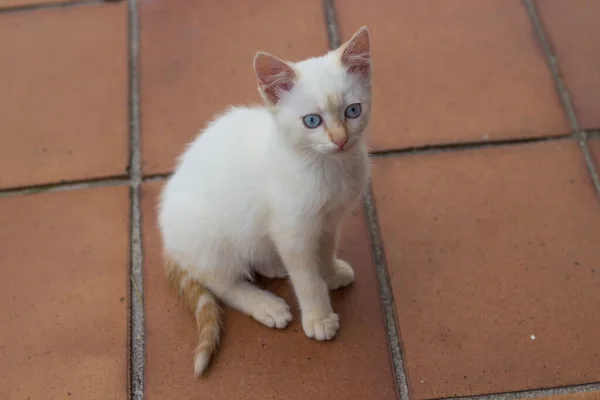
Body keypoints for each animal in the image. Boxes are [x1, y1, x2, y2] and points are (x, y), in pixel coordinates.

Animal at [158, 26, 376, 376]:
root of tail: (169, 243)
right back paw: (265, 304)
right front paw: (319, 317)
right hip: (209, 242)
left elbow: (325, 248)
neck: (325, 167)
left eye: (353, 111)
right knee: (222, 284)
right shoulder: (292, 229)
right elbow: (306, 278)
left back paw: (272, 264)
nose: (341, 139)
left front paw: (329, 271)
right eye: (312, 121)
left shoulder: (329, 219)